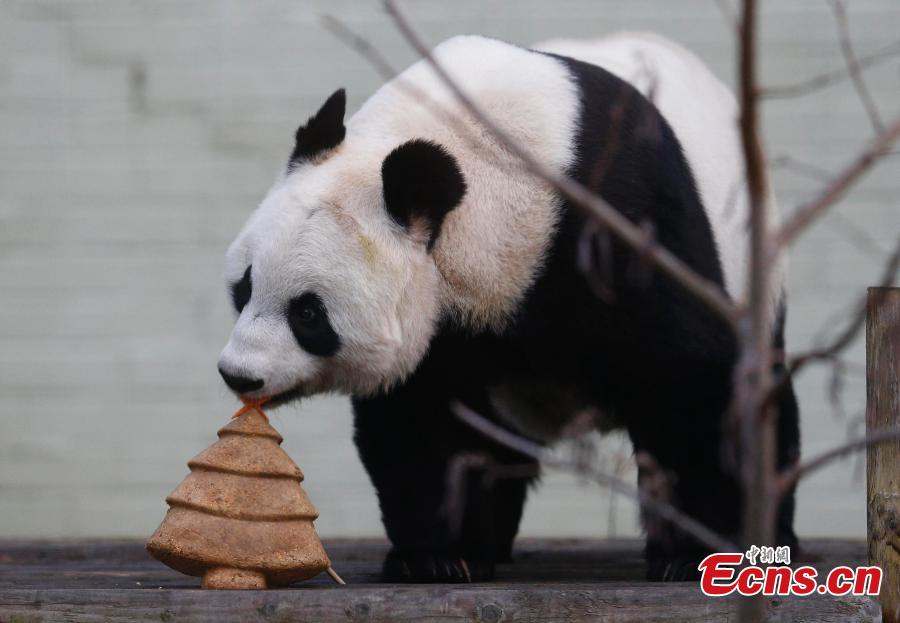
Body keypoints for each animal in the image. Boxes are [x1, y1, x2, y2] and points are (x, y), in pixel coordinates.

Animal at [216, 31, 800, 584]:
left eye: (308, 314)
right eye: (244, 288)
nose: (238, 375)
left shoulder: (621, 222)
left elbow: (689, 384)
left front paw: (694, 554)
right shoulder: (445, 322)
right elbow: (427, 422)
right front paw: (439, 558)